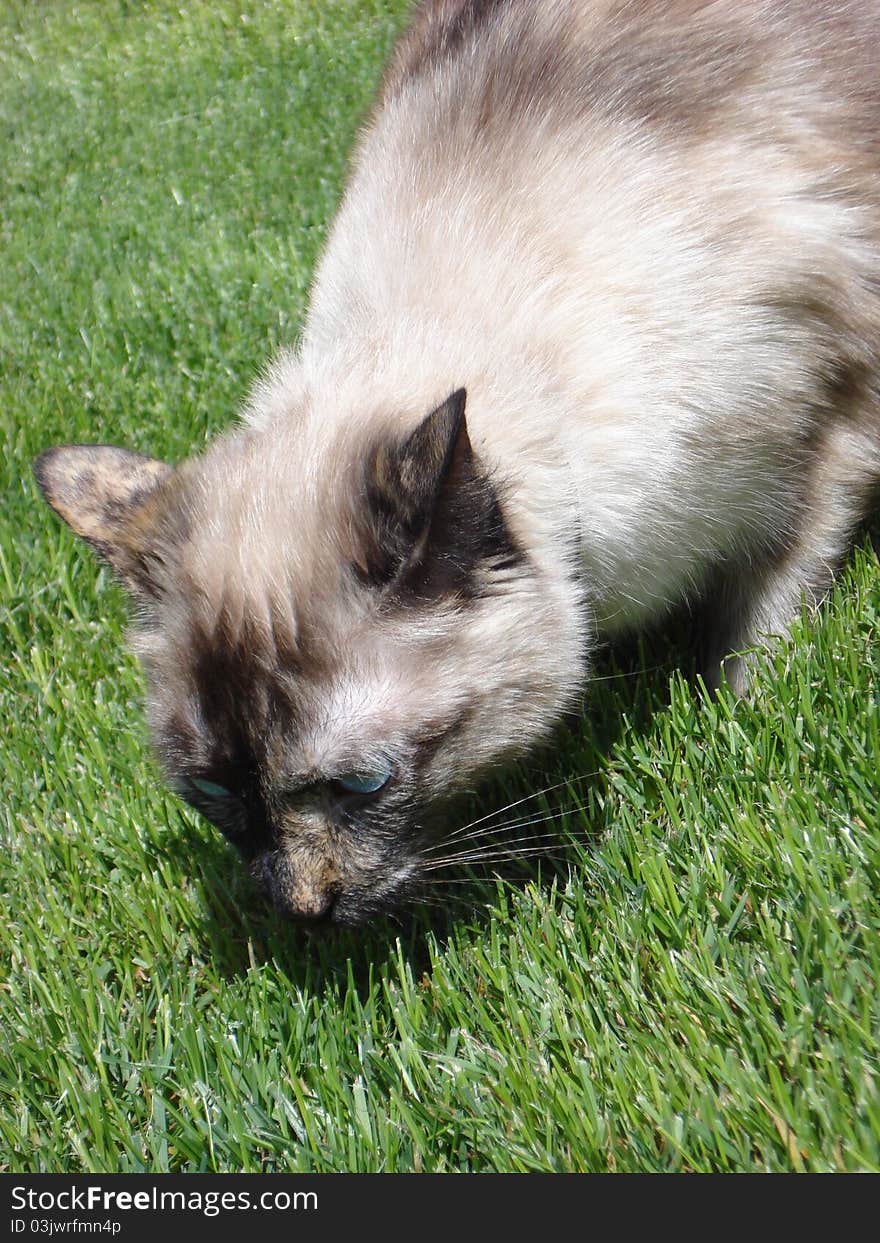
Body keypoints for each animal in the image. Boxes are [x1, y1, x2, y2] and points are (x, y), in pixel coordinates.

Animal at [34, 0, 879, 929]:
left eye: (364, 782)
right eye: (216, 793)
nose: (305, 910)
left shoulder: (827, 436)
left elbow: (755, 642)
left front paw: (740, 720)